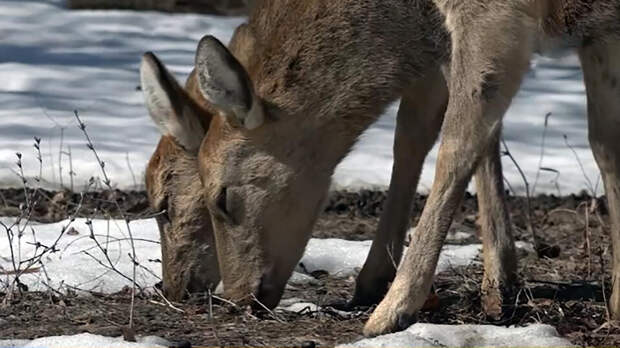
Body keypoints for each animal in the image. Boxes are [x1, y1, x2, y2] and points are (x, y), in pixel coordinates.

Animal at [140, 0, 620, 338]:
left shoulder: (489, 17)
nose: (236, 299)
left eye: (217, 197)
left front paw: (393, 306)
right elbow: (603, 145)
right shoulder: (599, 30)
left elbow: (456, 143)